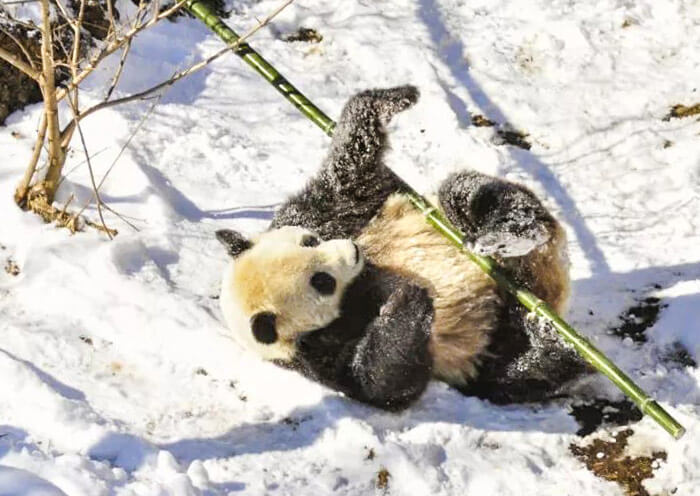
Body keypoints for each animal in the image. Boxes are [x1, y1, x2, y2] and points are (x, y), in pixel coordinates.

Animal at [216, 86, 586, 410]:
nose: (352, 251)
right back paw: (553, 348)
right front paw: (409, 299)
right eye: (322, 281)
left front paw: (394, 98)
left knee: (471, 194)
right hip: (492, 339)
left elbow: (348, 175)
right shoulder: (318, 355)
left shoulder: (318, 217)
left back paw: (508, 234)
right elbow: (383, 381)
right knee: (514, 370)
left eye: (310, 241)